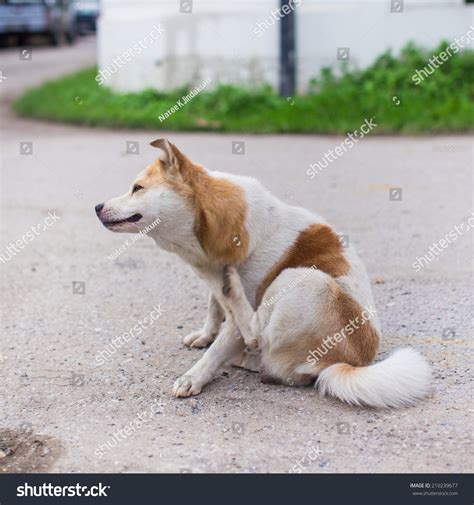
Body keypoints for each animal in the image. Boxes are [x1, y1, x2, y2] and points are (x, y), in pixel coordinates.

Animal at [94, 140, 432, 408]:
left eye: (137, 188)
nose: (97, 206)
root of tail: (346, 363)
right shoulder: (212, 281)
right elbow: (213, 308)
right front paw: (204, 334)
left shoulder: (234, 310)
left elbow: (220, 345)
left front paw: (194, 377)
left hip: (299, 279)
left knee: (259, 336)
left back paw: (238, 317)